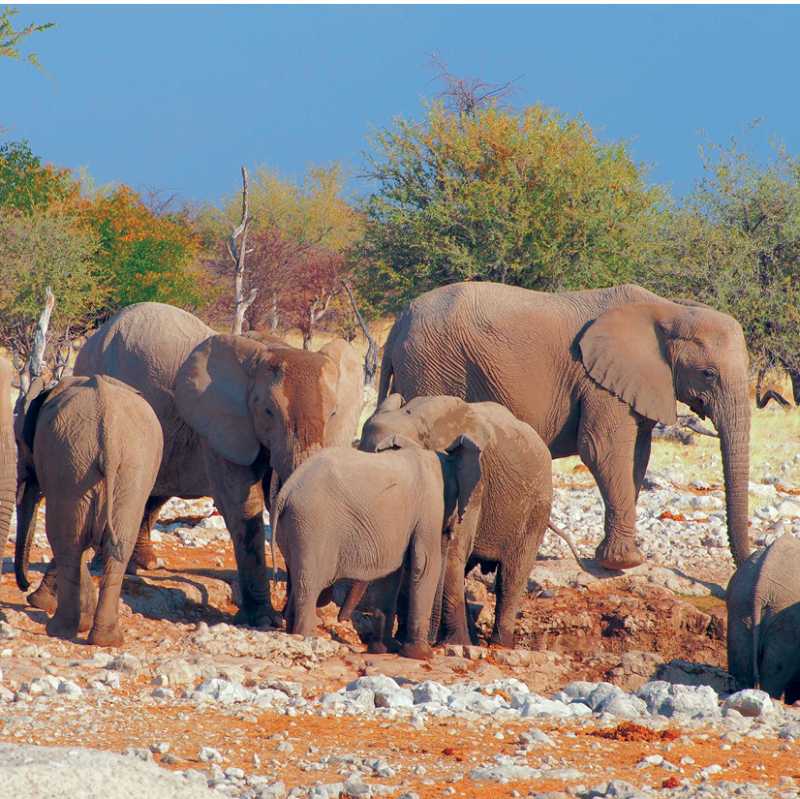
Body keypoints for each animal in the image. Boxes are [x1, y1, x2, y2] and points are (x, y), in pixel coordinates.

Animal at [14, 375, 162, 646]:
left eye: (20, 443)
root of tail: (110, 432)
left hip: (70, 463)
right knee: (117, 546)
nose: (25, 585)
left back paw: (61, 630)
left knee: (66, 542)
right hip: (128, 471)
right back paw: (106, 639)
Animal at [22, 302, 362, 629]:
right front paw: (264, 621)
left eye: (333, 413)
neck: (273, 346)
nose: (295, 615)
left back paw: (144, 565)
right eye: (268, 411)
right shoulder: (220, 428)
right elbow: (244, 505)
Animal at [274, 435, 484, 659]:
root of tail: (286, 490)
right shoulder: (430, 507)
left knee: (298, 579)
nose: (341, 618)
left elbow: (390, 574)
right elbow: (426, 565)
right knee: (309, 585)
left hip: (294, 526)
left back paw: (293, 634)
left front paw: (384, 649)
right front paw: (420, 655)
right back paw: (309, 637)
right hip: (311, 524)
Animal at [358, 394, 553, 647]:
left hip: (536, 508)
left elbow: (450, 554)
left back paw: (499, 645)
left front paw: (455, 644)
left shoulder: (474, 482)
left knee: (511, 575)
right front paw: (404, 640)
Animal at [379, 281, 751, 571]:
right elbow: (604, 450)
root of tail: (398, 324)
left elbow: (638, 456)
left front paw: (623, 557)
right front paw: (624, 562)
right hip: (432, 369)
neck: (670, 309)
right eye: (709, 374)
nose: (744, 565)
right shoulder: (598, 381)